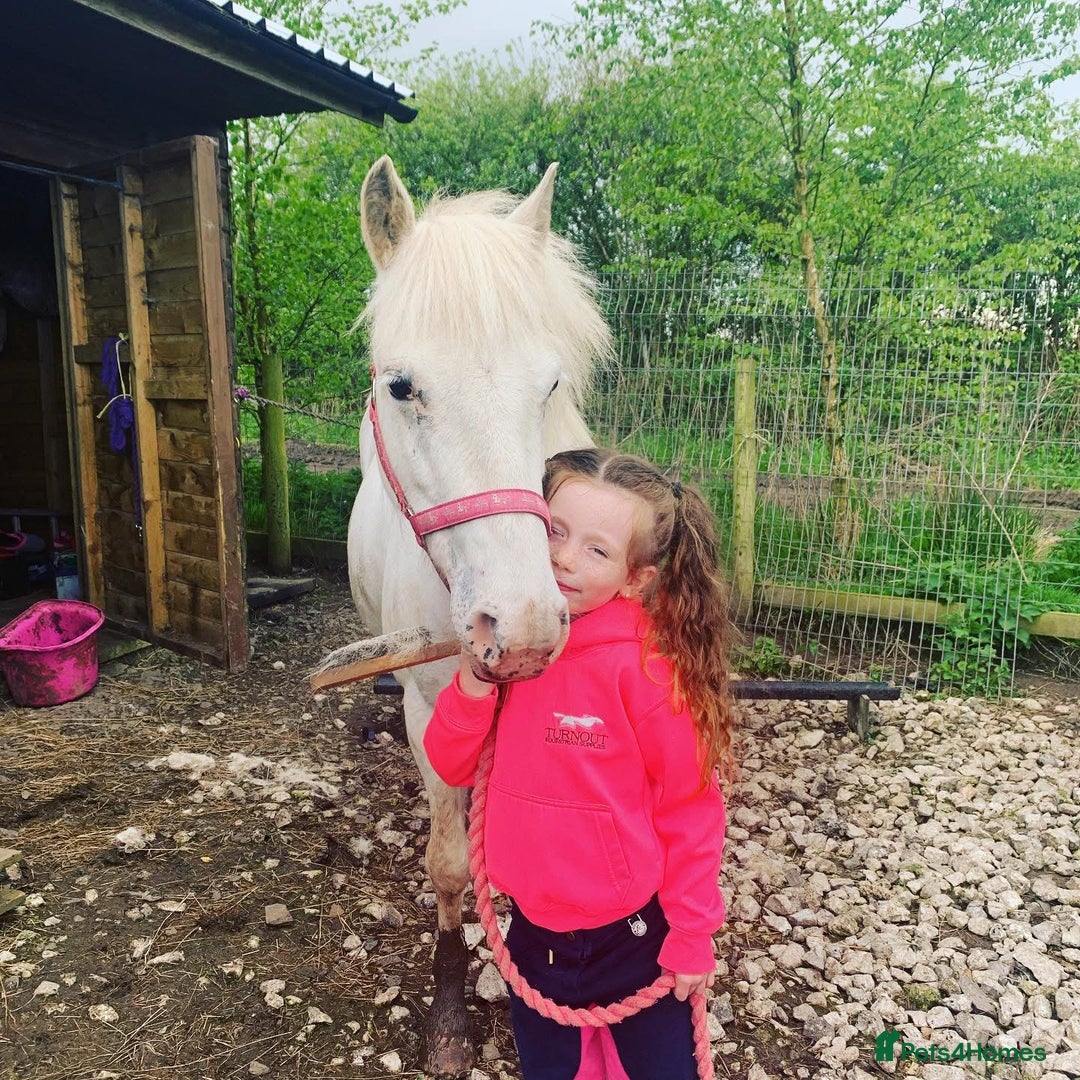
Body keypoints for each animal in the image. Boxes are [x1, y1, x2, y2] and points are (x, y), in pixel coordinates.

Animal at [347, 157, 611, 1076]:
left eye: (551, 383)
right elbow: (451, 862)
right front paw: (452, 1013)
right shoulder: (432, 706)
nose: (522, 627)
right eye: (401, 385)